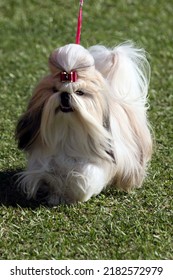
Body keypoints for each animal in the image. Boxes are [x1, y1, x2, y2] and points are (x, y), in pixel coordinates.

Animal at [15, 41, 152, 205]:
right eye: (54, 90)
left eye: (80, 92)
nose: (65, 95)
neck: (67, 132)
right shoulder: (45, 161)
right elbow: (50, 176)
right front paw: (55, 196)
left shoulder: (94, 163)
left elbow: (84, 176)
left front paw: (75, 195)